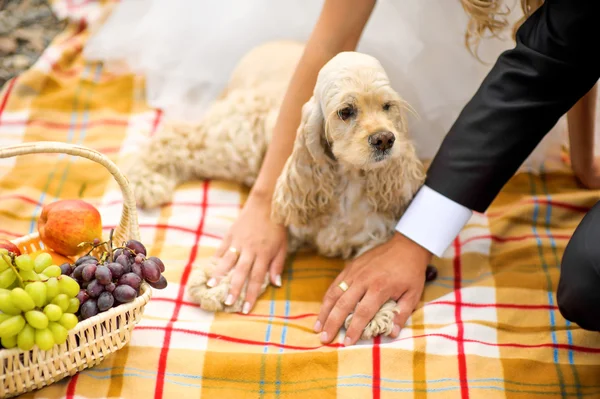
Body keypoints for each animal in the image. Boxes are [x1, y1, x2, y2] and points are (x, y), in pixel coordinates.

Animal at [127, 41, 426, 340]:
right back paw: (145, 181)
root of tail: (266, 46)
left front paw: (376, 311)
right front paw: (219, 284)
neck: (349, 179)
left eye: (387, 106)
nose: (385, 139)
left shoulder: (378, 230)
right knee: (175, 136)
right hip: (237, 144)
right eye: (346, 111)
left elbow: (377, 264)